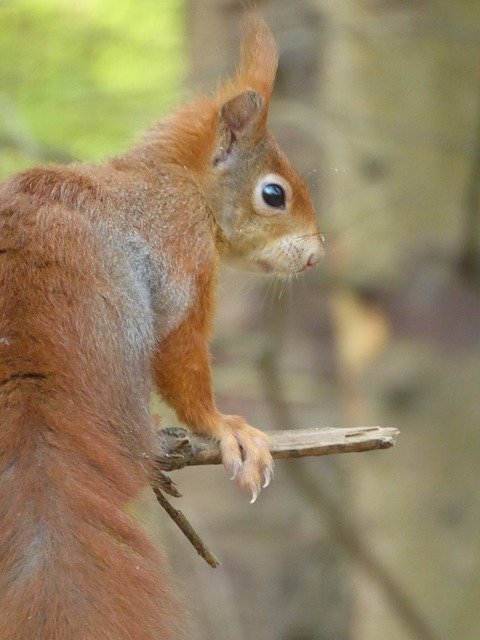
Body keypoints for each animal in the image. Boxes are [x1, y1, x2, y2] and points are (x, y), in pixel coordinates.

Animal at [0, 13, 322, 640]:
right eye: (274, 194)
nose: (318, 256)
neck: (182, 181)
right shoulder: (183, 258)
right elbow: (183, 358)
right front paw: (224, 427)